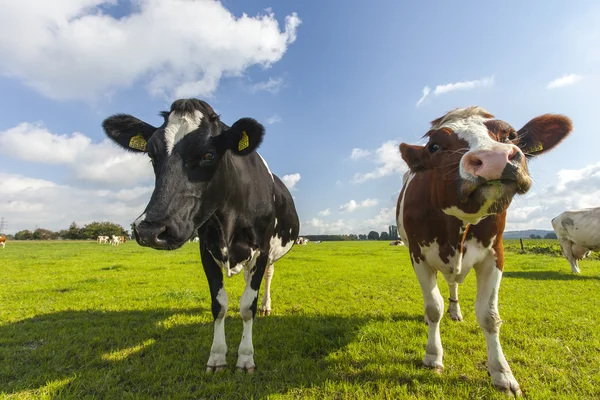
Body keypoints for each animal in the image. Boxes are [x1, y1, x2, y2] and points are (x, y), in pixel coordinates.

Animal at [104, 98, 300, 374]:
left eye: (209, 155)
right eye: (152, 155)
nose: (151, 230)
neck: (228, 223)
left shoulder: (261, 250)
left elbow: (247, 306)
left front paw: (245, 357)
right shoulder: (206, 251)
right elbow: (219, 306)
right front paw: (217, 357)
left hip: (272, 252)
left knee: (268, 277)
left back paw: (266, 306)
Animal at [398, 105, 572, 394]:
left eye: (510, 135)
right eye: (434, 146)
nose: (494, 158)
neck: (457, 224)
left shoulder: (495, 255)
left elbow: (489, 316)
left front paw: (502, 373)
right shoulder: (418, 254)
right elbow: (433, 307)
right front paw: (433, 356)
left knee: (453, 285)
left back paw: (456, 312)